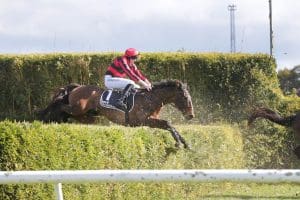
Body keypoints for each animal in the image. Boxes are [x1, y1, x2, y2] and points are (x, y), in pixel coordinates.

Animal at [37, 80, 195, 148]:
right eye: (185, 97)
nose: (191, 115)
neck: (151, 98)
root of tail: (77, 87)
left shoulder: (151, 120)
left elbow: (170, 125)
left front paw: (185, 143)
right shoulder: (143, 121)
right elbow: (168, 123)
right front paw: (179, 143)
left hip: (84, 112)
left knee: (78, 116)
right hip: (77, 107)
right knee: (60, 106)